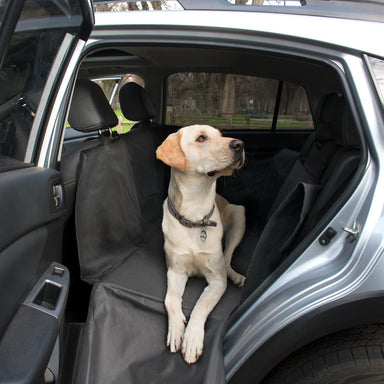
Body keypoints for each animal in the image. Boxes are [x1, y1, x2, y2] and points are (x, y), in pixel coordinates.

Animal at [156, 124, 246, 364]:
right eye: (201, 138)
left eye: (221, 135)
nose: (240, 144)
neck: (194, 218)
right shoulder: (175, 271)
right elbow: (170, 300)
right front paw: (176, 330)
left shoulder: (216, 280)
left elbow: (201, 305)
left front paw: (192, 339)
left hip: (238, 215)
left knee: (227, 257)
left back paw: (235, 276)